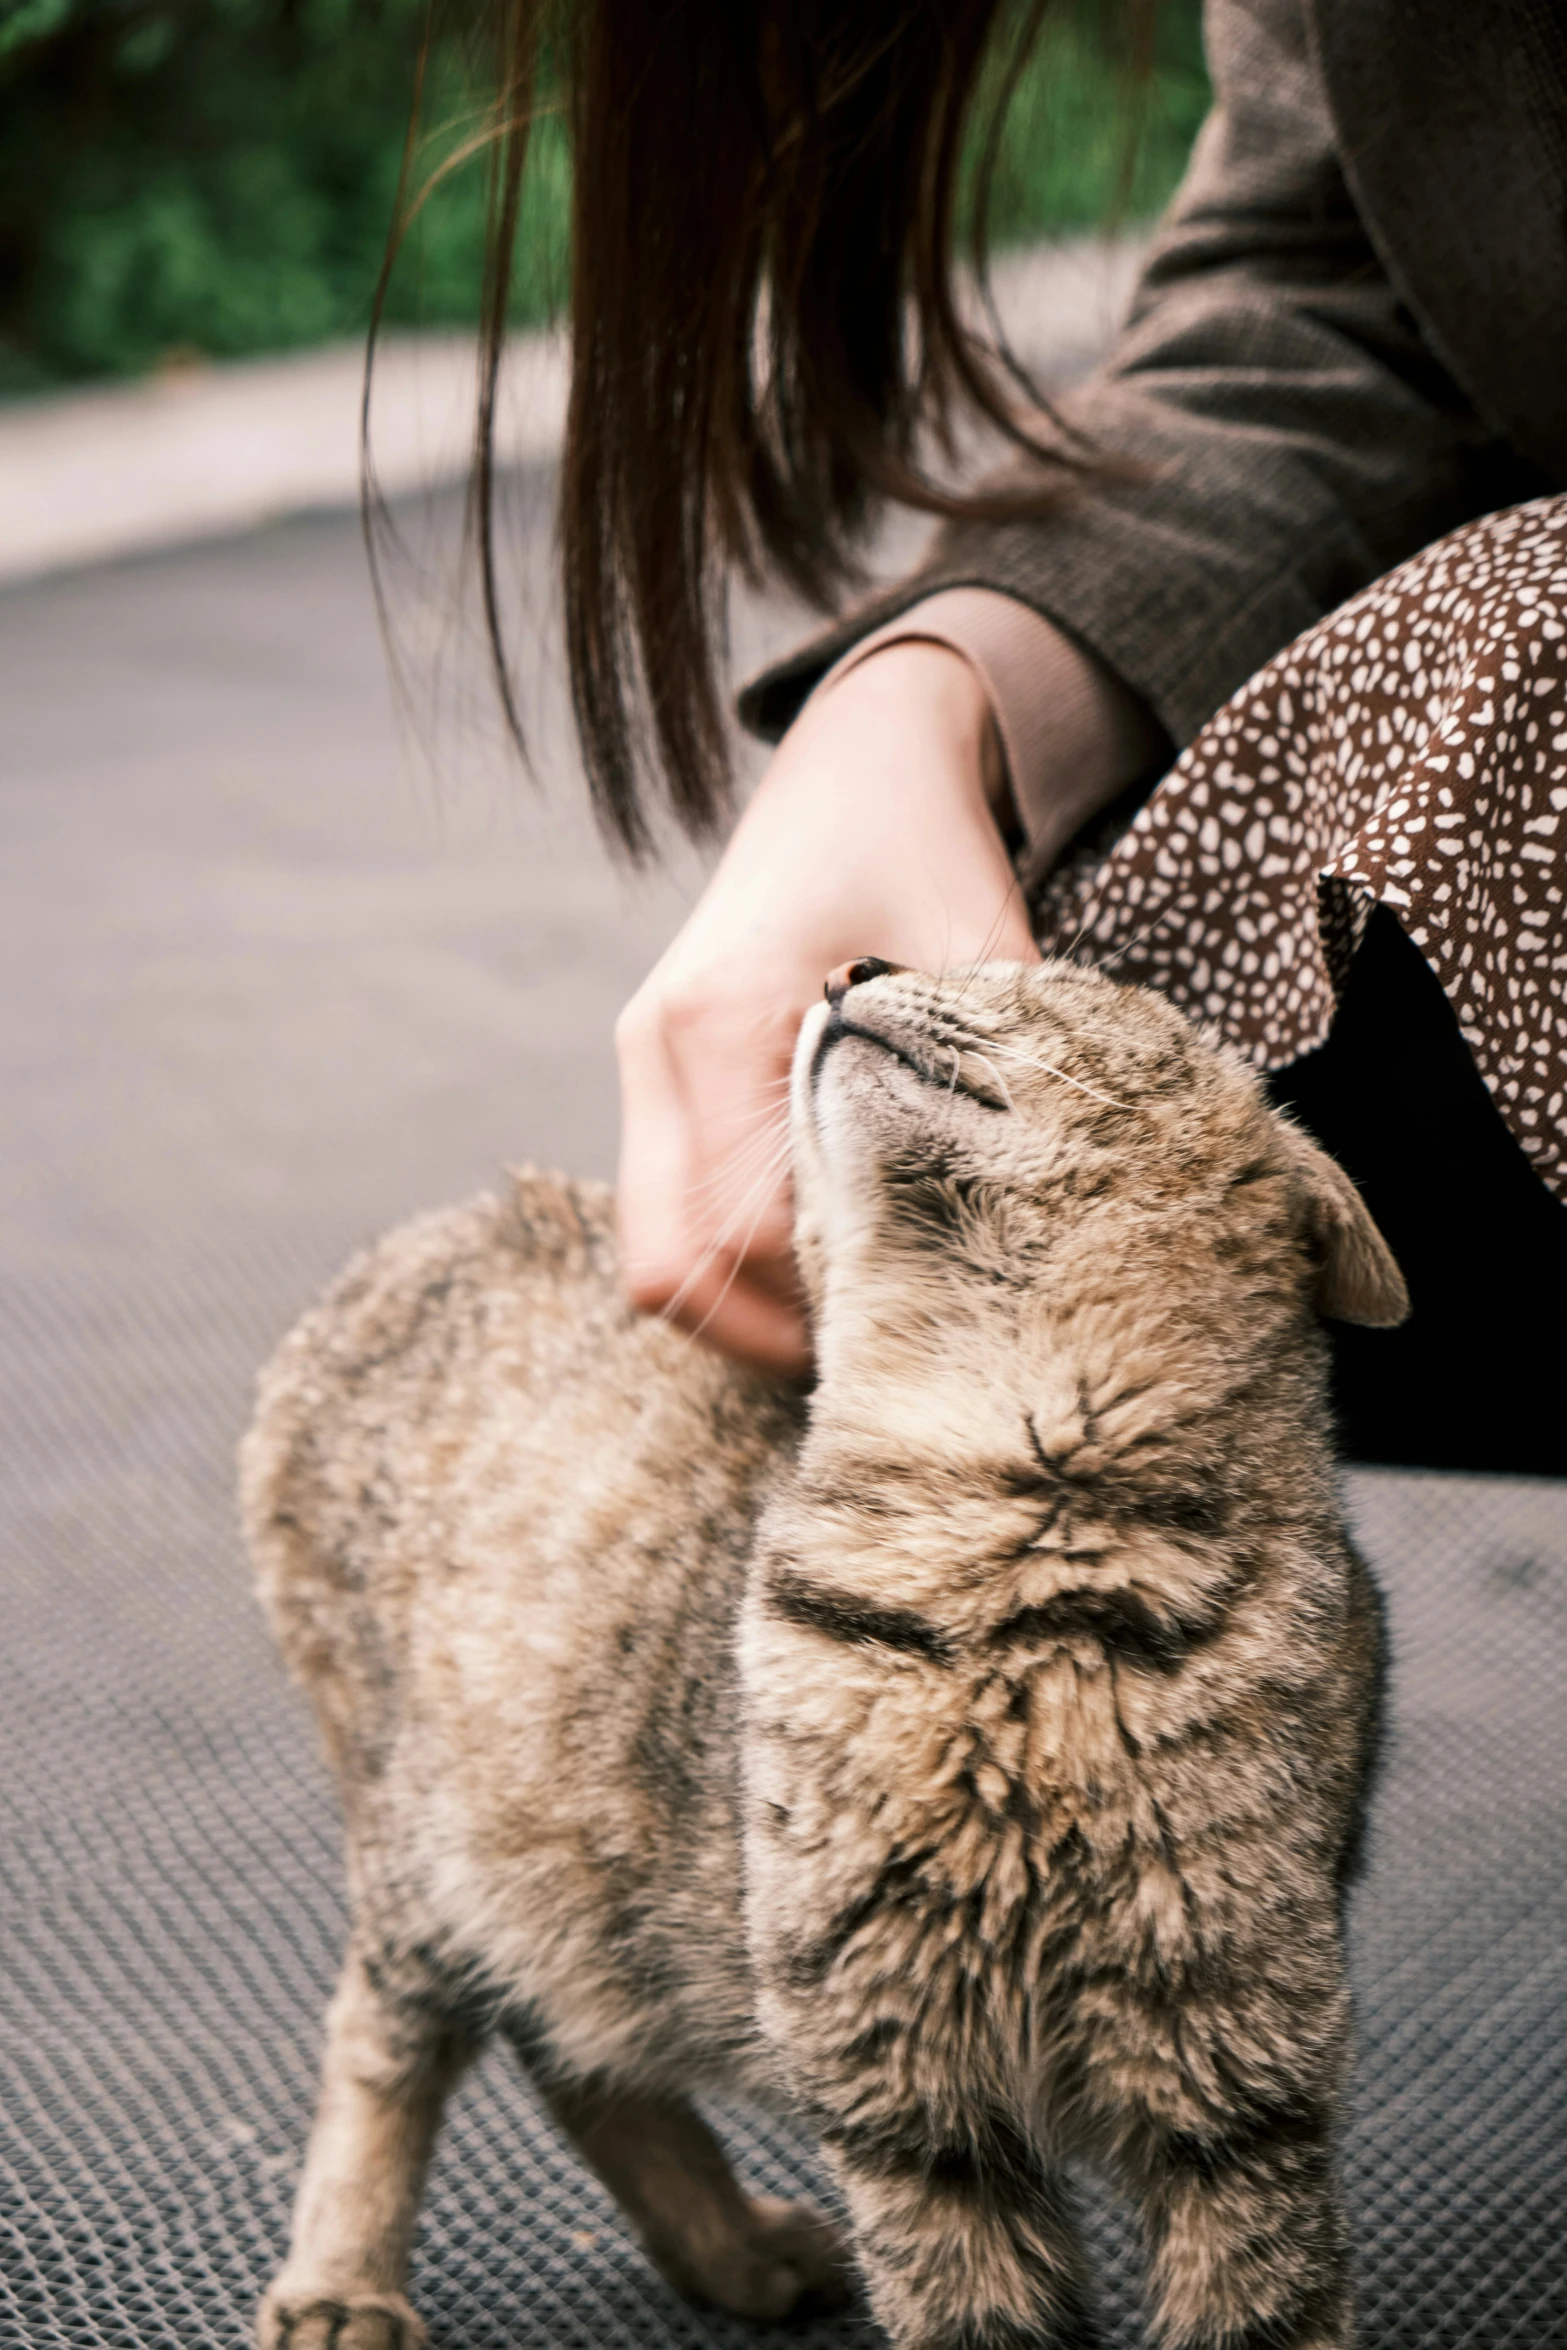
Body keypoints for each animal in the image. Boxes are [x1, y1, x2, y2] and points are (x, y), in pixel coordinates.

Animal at [239, 954, 1400, 2350]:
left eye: (1034, 976)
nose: (852, 964)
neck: (1009, 1523)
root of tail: (433, 1233)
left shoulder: (1238, 2066)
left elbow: (1262, 2301)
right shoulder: (903, 2082)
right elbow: (969, 2310)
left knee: (572, 2052)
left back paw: (729, 2248)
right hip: (436, 1848)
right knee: (388, 2032)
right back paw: (343, 2282)